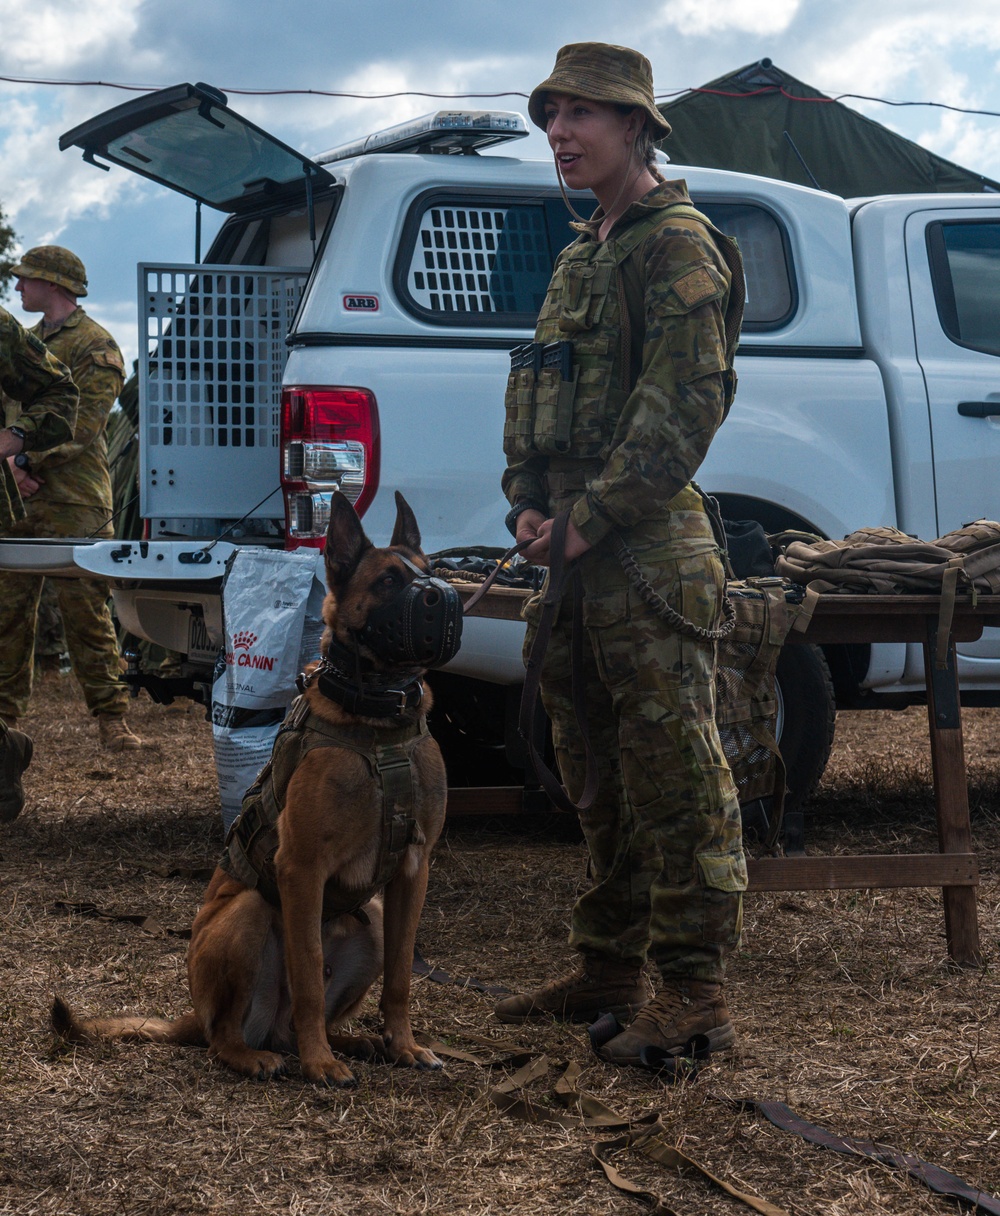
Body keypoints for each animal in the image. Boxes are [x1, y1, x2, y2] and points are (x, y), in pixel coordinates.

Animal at [50, 491, 450, 1084]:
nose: (443, 600)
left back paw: (353, 1043)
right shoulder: (301, 869)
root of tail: (191, 1014)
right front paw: (319, 1064)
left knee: (296, 1023)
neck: (378, 723)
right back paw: (272, 1055)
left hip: (372, 921)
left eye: (431, 572)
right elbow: (307, 973)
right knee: (227, 1036)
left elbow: (401, 976)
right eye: (386, 581)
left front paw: (402, 1044)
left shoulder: (411, 871)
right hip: (250, 914)